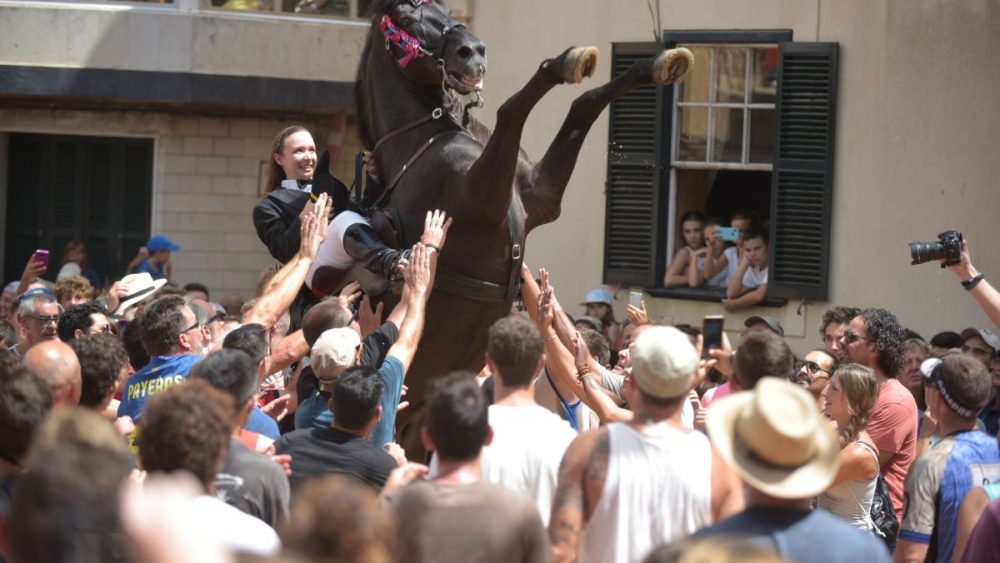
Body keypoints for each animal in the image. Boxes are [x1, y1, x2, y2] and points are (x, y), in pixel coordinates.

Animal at [356, 0, 692, 450]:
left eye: (445, 7)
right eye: (408, 13)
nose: (472, 51)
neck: (425, 141)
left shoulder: (540, 196)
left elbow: (583, 104)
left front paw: (653, 63)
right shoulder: (483, 196)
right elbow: (511, 108)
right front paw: (564, 64)